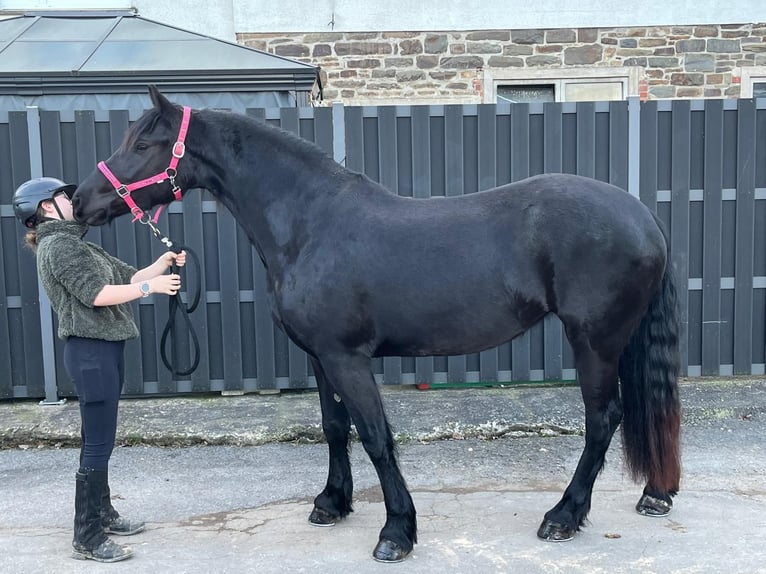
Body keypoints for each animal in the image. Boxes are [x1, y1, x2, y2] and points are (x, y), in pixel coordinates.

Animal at [72, 86, 681, 563]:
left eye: (142, 145)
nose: (79, 201)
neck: (310, 223)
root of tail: (643, 216)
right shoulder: (321, 357)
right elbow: (334, 428)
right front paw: (332, 503)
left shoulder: (348, 358)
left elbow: (375, 436)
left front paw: (397, 532)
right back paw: (654, 494)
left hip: (593, 342)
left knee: (603, 419)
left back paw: (563, 516)